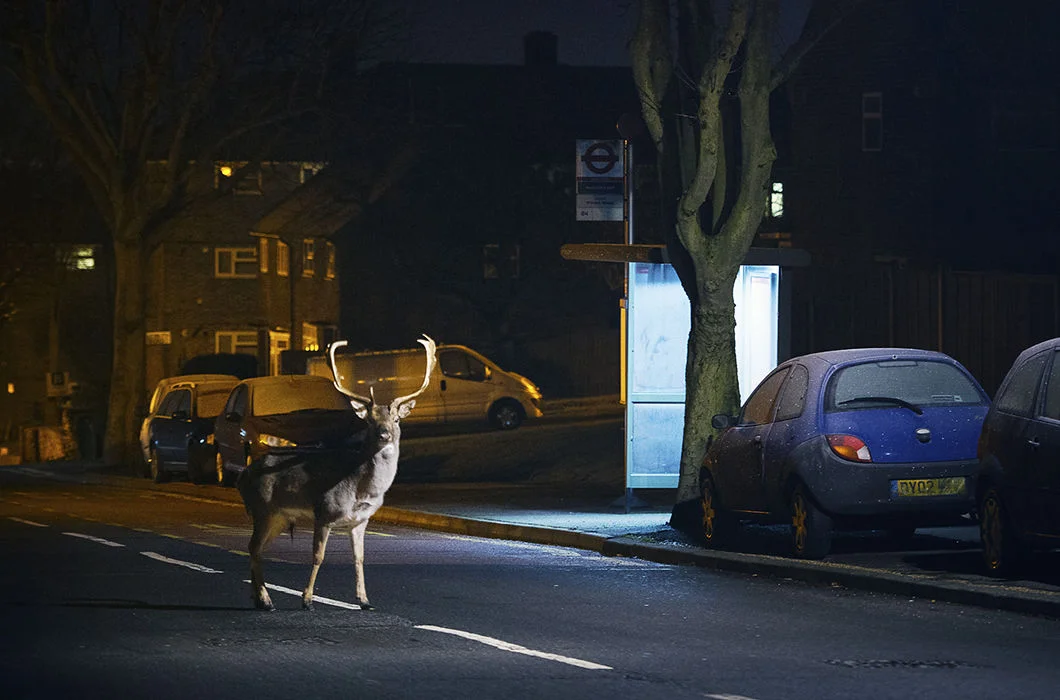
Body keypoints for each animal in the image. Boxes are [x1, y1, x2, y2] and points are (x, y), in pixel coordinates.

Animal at [238, 335, 436, 610]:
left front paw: (365, 600)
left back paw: (259, 598)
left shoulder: (361, 520)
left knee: (256, 549)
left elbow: (359, 558)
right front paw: (307, 600)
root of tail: (243, 475)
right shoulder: (324, 511)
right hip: (263, 508)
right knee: (253, 547)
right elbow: (318, 556)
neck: (361, 488)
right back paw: (266, 600)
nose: (384, 434)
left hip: (279, 516)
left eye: (396, 419)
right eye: (370, 420)